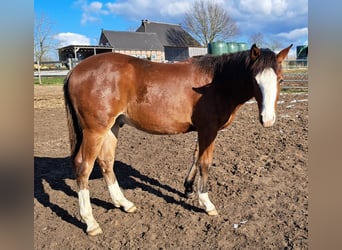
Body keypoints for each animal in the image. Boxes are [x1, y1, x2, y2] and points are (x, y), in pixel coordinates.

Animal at [62, 44, 290, 235]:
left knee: (106, 162)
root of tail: (75, 70)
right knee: (84, 167)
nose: (267, 119)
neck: (215, 83)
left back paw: (123, 203)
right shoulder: (208, 130)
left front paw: (188, 188)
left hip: (112, 127)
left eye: (280, 80)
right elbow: (204, 163)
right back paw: (90, 222)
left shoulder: (202, 130)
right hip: (95, 130)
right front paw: (206, 203)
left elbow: (196, 157)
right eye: (254, 80)